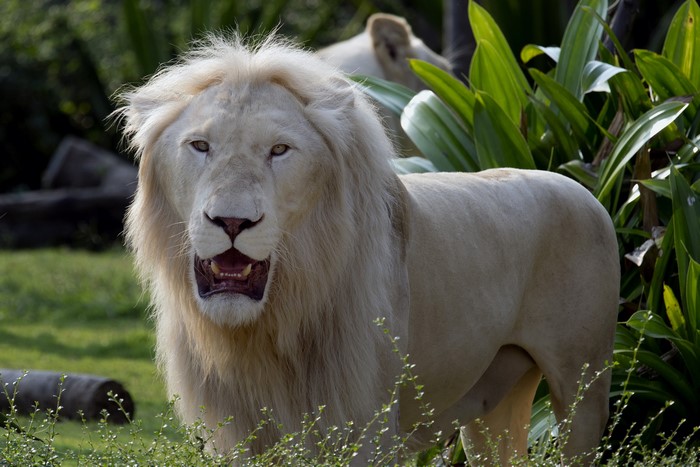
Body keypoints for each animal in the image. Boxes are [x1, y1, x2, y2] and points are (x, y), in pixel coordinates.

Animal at [118, 35, 619, 465]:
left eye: (280, 150)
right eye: (200, 146)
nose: (232, 222)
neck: (270, 326)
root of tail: (582, 189)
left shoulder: (364, 427)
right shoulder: (241, 434)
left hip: (582, 385)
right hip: (492, 404)